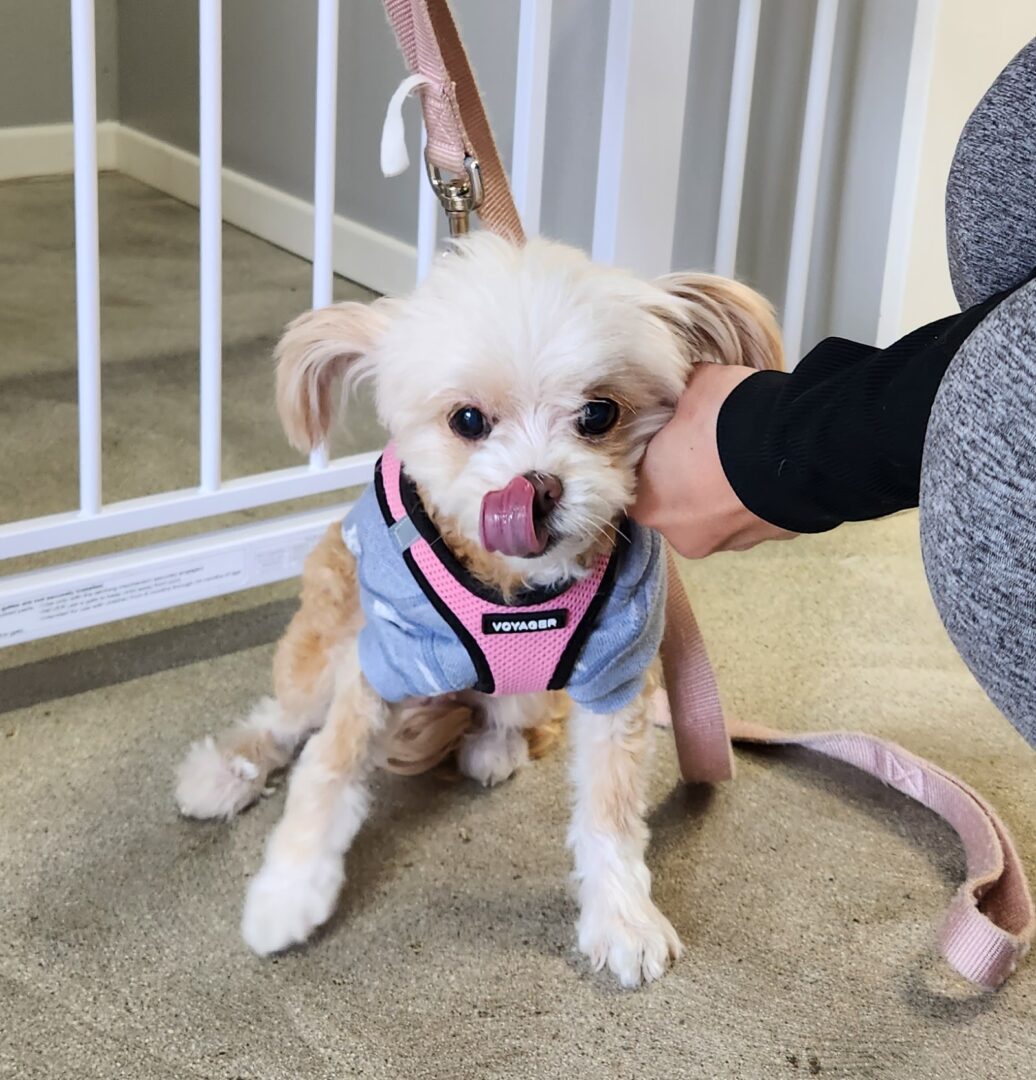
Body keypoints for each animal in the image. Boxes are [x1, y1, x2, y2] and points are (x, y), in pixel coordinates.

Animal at [176, 236, 777, 989]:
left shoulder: (615, 681)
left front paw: (622, 917)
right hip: (328, 643)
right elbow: (327, 768)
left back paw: (493, 746)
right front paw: (286, 894)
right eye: (468, 420)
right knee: (284, 718)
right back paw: (225, 773)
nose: (536, 488)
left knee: (503, 710)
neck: (516, 588)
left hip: (531, 690)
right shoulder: (381, 662)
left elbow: (610, 810)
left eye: (599, 414)